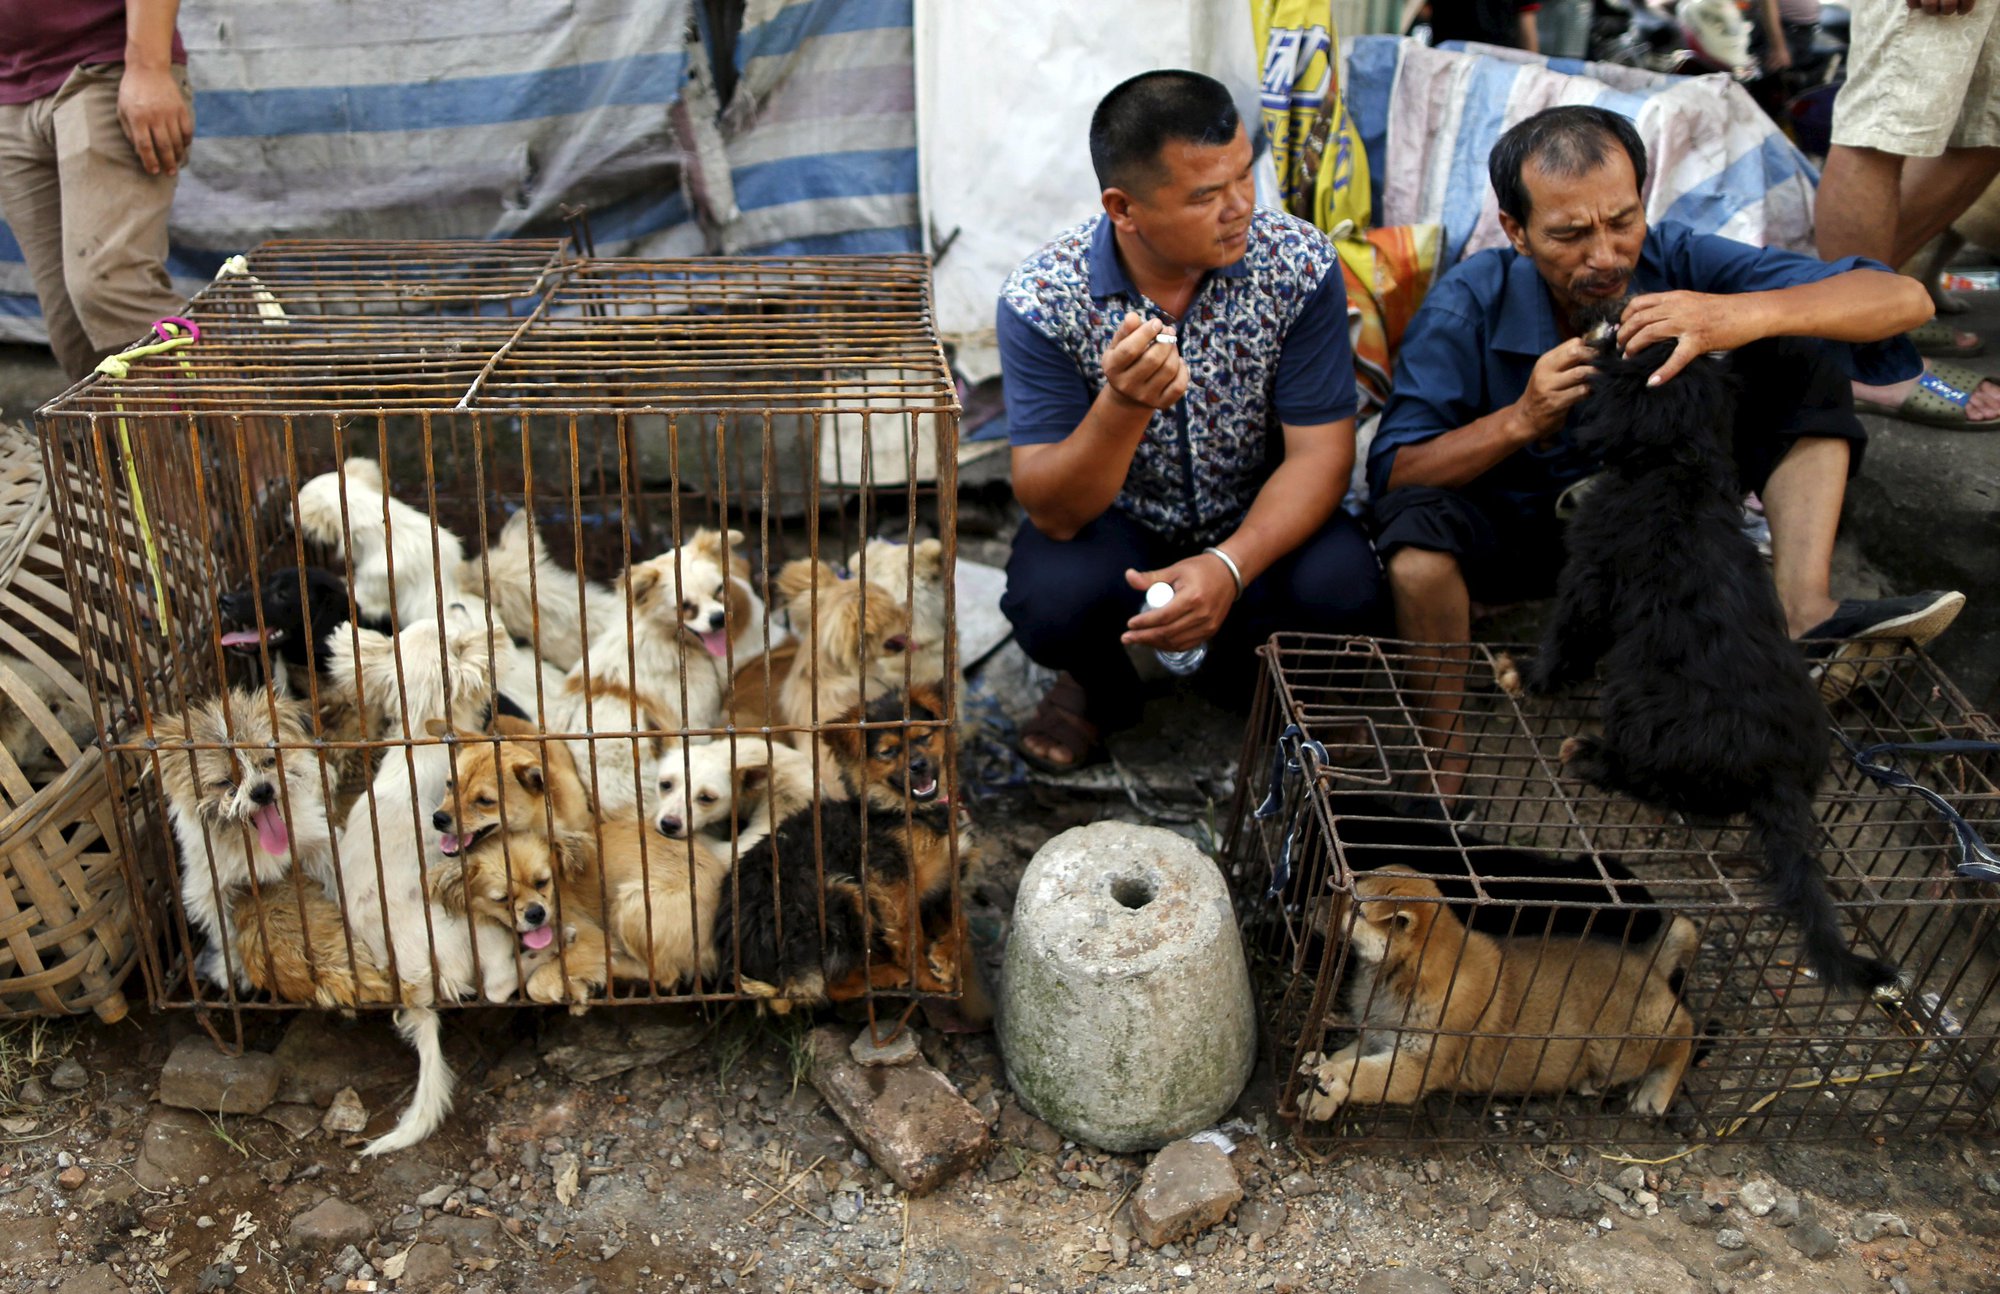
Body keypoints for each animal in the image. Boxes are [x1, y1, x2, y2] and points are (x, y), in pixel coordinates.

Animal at [1304, 872, 1696, 1120]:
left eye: (1356, 910)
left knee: (1684, 1033)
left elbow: (1365, 1074)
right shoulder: (1376, 1037)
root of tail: (1647, 960)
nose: (1308, 902)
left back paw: (1655, 1093)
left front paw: (1334, 1079)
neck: (1403, 977)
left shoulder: (1417, 1065)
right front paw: (1318, 1092)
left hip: (1621, 1045)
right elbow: (1347, 1055)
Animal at [1504, 334, 1896, 992]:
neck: (1680, 464)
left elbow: (1568, 634)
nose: (1607, 326)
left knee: (1657, 780)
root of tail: (1777, 774)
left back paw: (1592, 755)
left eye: (1624, 354)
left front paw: (1529, 677)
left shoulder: (1592, 570)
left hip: (1639, 701)